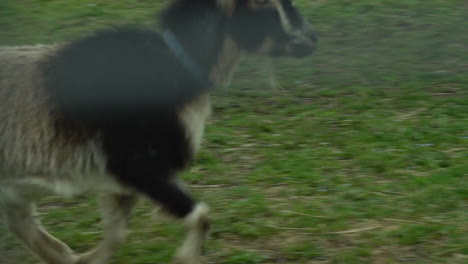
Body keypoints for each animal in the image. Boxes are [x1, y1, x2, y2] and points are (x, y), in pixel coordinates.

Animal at [0, 0, 318, 264]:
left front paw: (84, 259)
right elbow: (200, 216)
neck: (175, 65)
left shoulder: (123, 180)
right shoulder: (140, 165)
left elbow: (115, 233)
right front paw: (187, 257)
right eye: (266, 5)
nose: (313, 38)